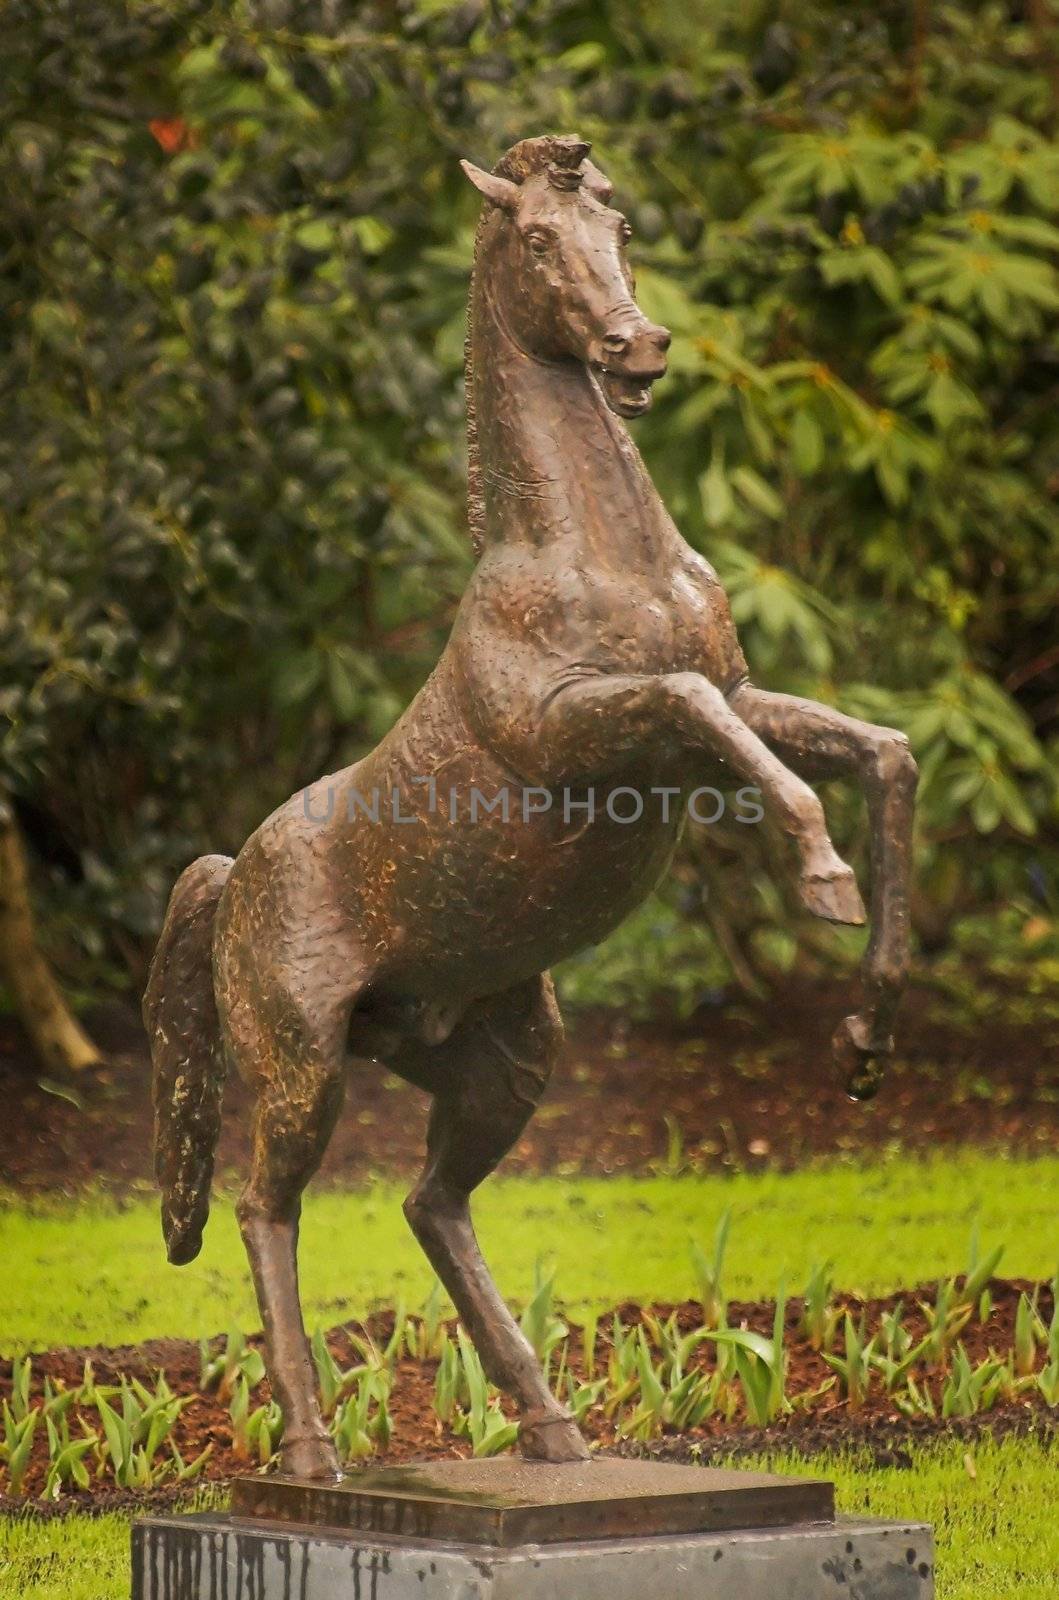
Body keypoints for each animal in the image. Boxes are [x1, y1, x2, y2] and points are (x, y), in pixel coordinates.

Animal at [145, 134, 915, 1472]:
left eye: (619, 224)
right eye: (540, 239)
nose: (637, 345)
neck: (593, 556)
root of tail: (233, 877)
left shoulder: (735, 702)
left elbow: (881, 753)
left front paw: (868, 1034)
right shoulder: (590, 730)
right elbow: (707, 713)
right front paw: (821, 881)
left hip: (502, 1055)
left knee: (433, 1203)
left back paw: (553, 1424)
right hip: (303, 1068)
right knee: (263, 1207)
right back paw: (312, 1449)